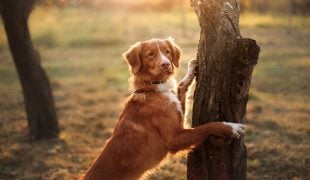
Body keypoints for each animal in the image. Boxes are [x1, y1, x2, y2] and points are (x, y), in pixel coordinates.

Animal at [81, 37, 246, 179]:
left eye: (167, 52)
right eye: (150, 55)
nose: (166, 64)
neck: (153, 89)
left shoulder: (178, 113)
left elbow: (180, 86)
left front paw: (191, 70)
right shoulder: (174, 139)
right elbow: (206, 126)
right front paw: (231, 127)